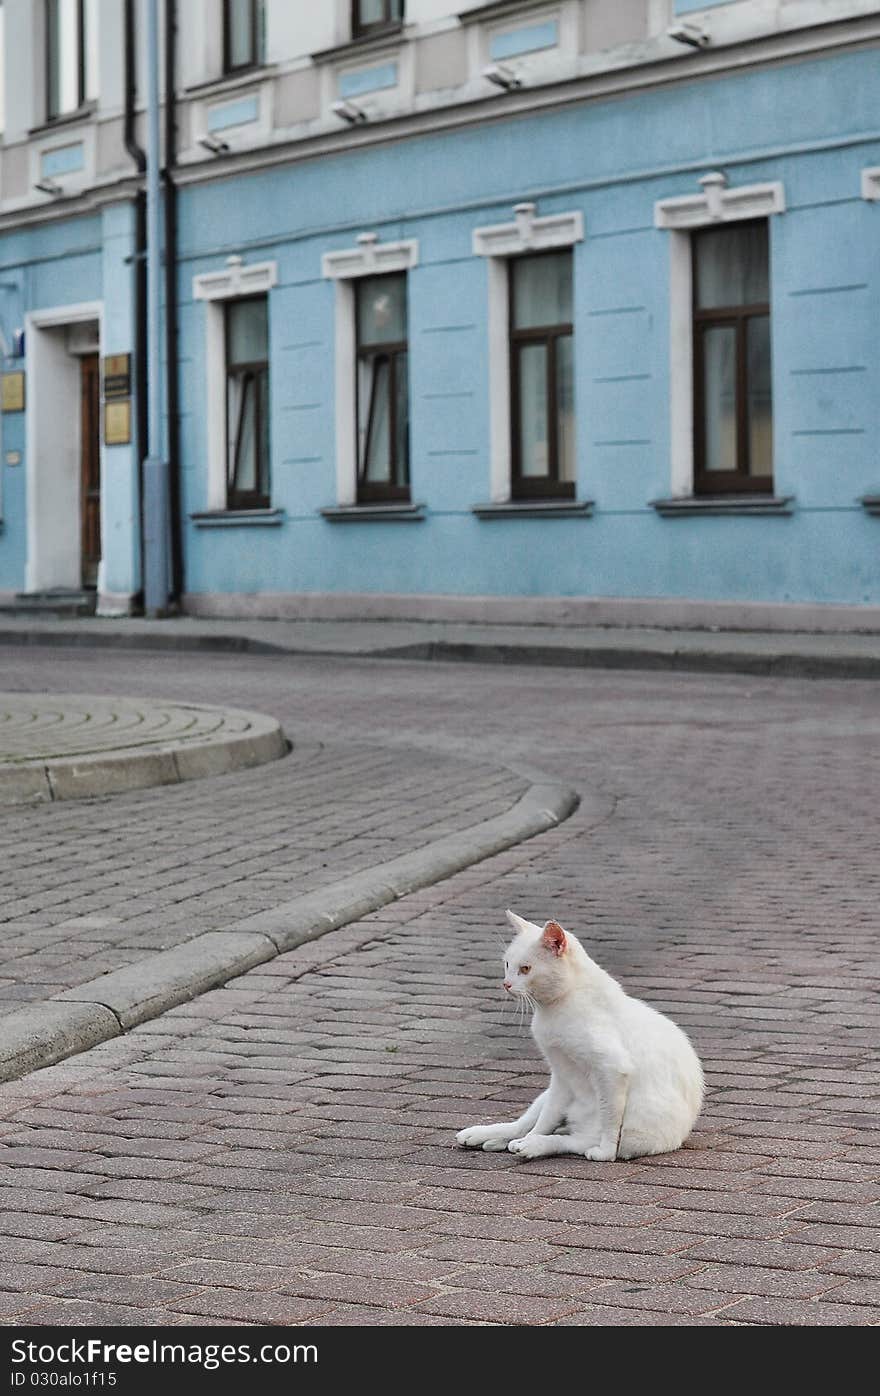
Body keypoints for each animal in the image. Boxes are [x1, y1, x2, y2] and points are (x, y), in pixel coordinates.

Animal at [458, 910, 706, 1161]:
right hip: (547, 1093)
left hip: (630, 1128)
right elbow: (544, 1120)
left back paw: (534, 1145)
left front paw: (606, 1152)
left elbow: (609, 1123)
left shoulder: (612, 1069)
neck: (554, 1009)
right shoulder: (560, 1073)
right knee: (526, 1124)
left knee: (573, 1140)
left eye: (525, 969)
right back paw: (486, 1136)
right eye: (507, 965)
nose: (506, 984)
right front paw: (525, 1138)